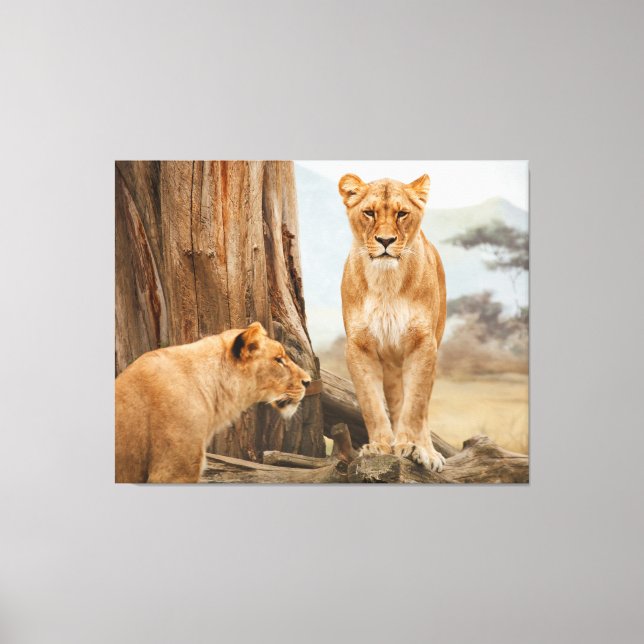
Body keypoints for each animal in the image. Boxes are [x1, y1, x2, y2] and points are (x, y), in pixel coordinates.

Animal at [339, 173, 447, 472]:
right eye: (369, 212)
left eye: (401, 213)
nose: (385, 240)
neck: (386, 281)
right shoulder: (359, 346)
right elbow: (371, 403)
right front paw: (379, 446)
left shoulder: (423, 344)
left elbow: (415, 406)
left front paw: (410, 447)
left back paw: (427, 452)